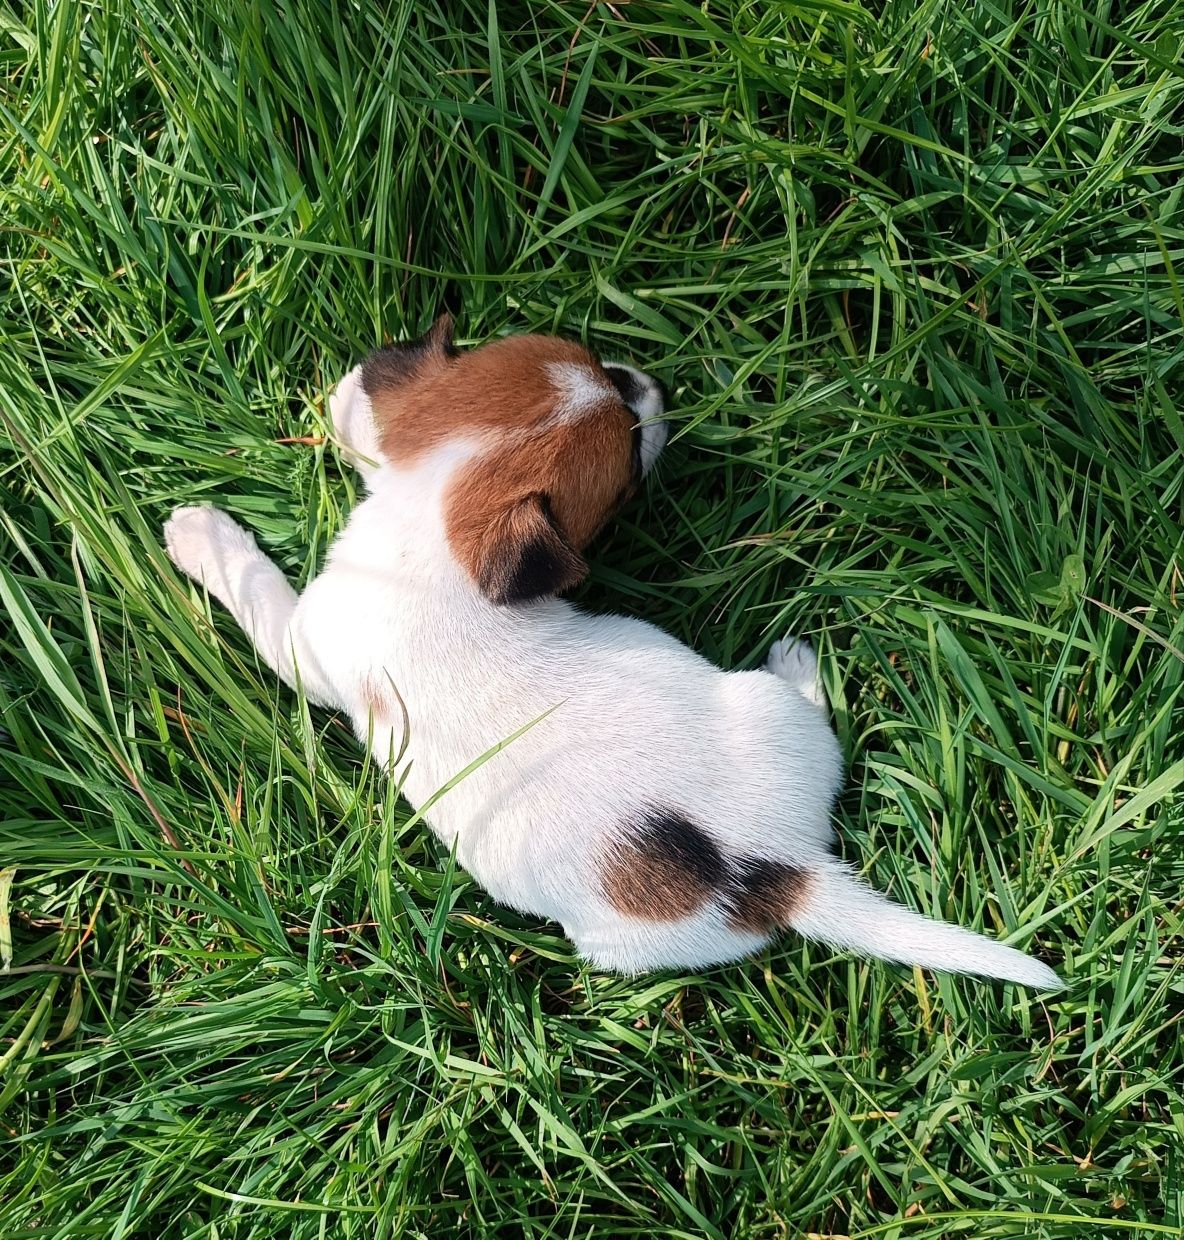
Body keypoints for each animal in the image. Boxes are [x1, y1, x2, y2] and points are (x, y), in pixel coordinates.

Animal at [162, 317, 1061, 987]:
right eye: (629, 454)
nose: (656, 384)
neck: (437, 530)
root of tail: (781, 869)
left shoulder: (306, 644)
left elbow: (255, 589)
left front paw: (202, 536)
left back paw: (799, 665)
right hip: (759, 722)